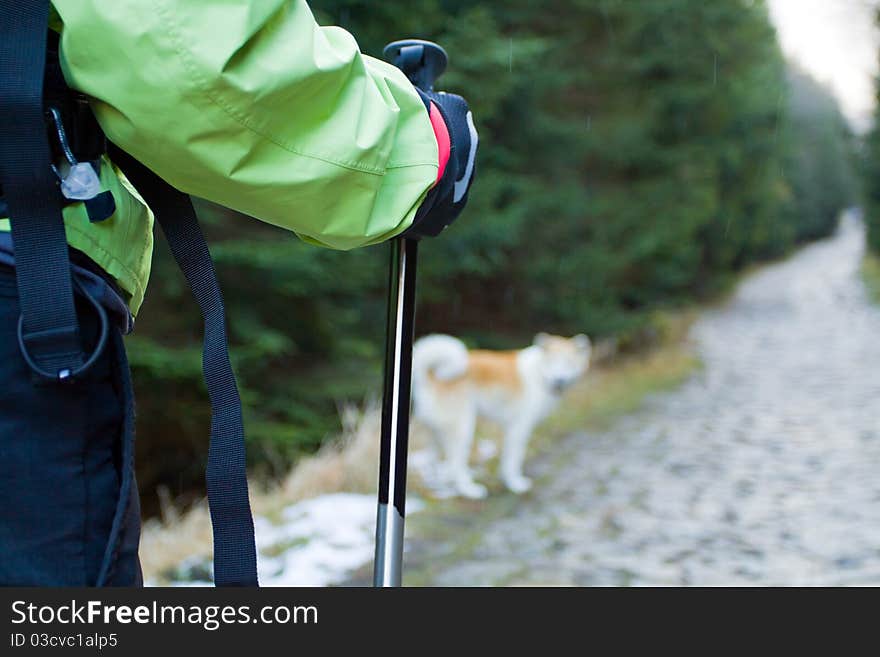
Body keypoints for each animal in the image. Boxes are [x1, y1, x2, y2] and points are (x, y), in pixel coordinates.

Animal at [412, 334, 592, 498]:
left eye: (569, 363)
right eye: (552, 362)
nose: (559, 380)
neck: (540, 375)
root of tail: (430, 375)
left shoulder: (510, 428)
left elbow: (506, 457)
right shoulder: (520, 426)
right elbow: (514, 459)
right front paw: (515, 484)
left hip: (436, 432)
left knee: (433, 461)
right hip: (463, 428)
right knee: (456, 465)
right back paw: (469, 490)